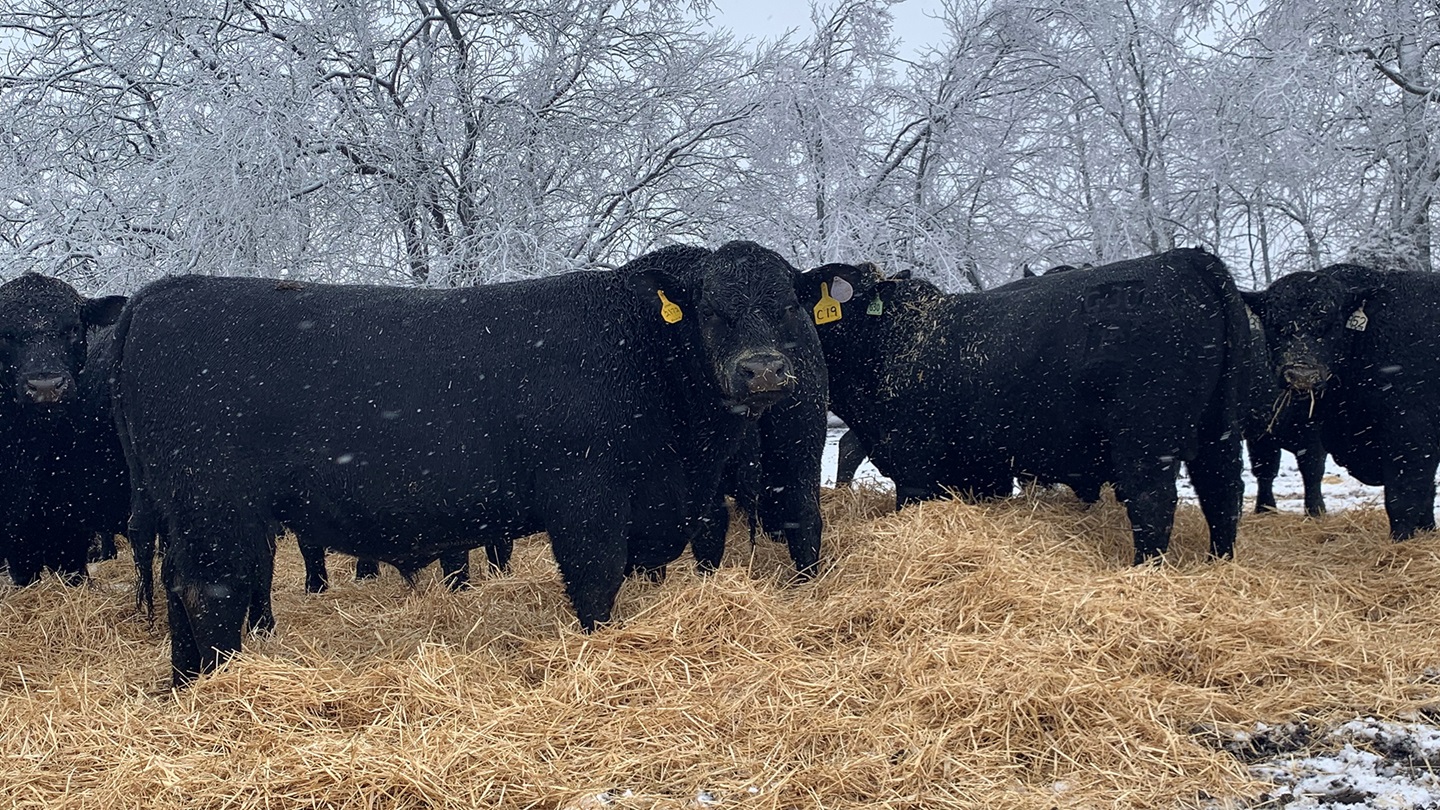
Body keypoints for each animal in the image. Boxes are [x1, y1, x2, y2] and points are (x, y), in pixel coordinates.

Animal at [113, 241, 824, 686]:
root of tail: (160, 292)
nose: (762, 370)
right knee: (210, 594)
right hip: (217, 510)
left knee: (179, 592)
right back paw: (224, 686)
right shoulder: (587, 500)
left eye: (789, 306)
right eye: (712, 310)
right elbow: (595, 586)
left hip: (191, 517)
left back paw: (186, 687)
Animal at [795, 248, 1249, 564]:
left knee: (1153, 504)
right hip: (1220, 433)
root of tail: (1183, 258)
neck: (892, 338)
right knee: (1224, 493)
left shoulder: (916, 466)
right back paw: (1219, 564)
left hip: (1145, 441)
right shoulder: (979, 468)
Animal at [1245, 263, 1440, 540]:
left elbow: (1403, 495)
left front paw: (1401, 540)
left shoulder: (1410, 433)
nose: (1301, 374)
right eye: (1275, 323)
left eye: (1332, 323)